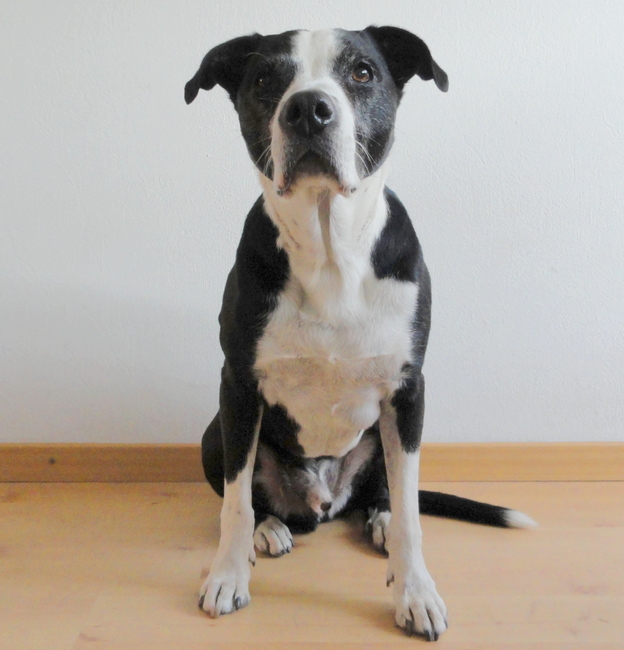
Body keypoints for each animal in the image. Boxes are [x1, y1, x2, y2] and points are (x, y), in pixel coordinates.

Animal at [185, 26, 535, 641]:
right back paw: (270, 529)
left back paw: (379, 521)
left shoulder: (409, 390)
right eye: (265, 78)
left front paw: (416, 592)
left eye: (362, 72)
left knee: (386, 494)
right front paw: (227, 575)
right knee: (253, 493)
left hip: (382, 436)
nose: (308, 109)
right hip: (215, 432)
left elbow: (413, 512)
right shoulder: (238, 386)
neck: (331, 251)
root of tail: (325, 501)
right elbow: (234, 502)